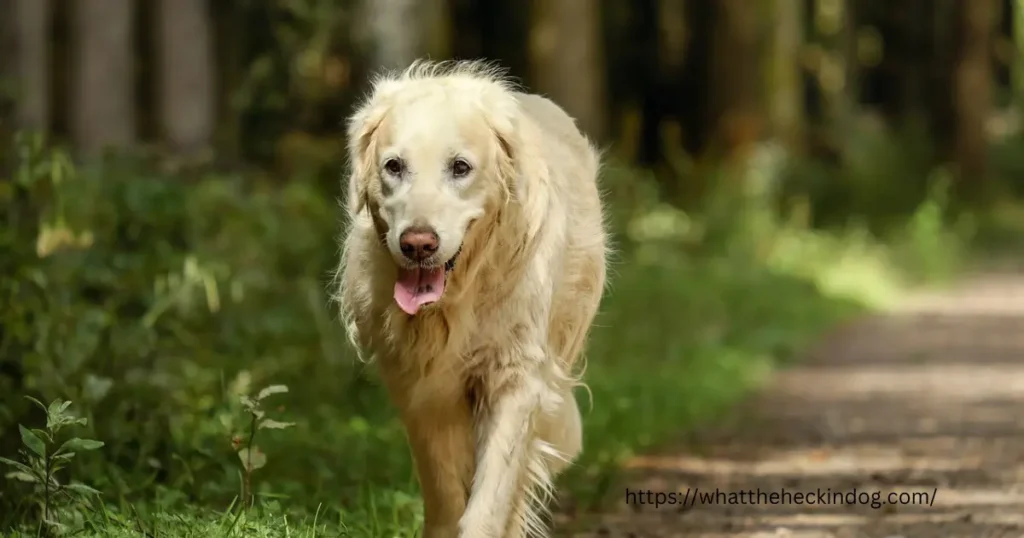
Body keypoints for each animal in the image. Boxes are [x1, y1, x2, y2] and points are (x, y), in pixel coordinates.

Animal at [333, 59, 606, 536]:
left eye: (460, 167)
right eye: (394, 166)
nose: (417, 244)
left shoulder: (517, 378)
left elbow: (491, 494)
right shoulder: (419, 387)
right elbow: (444, 490)